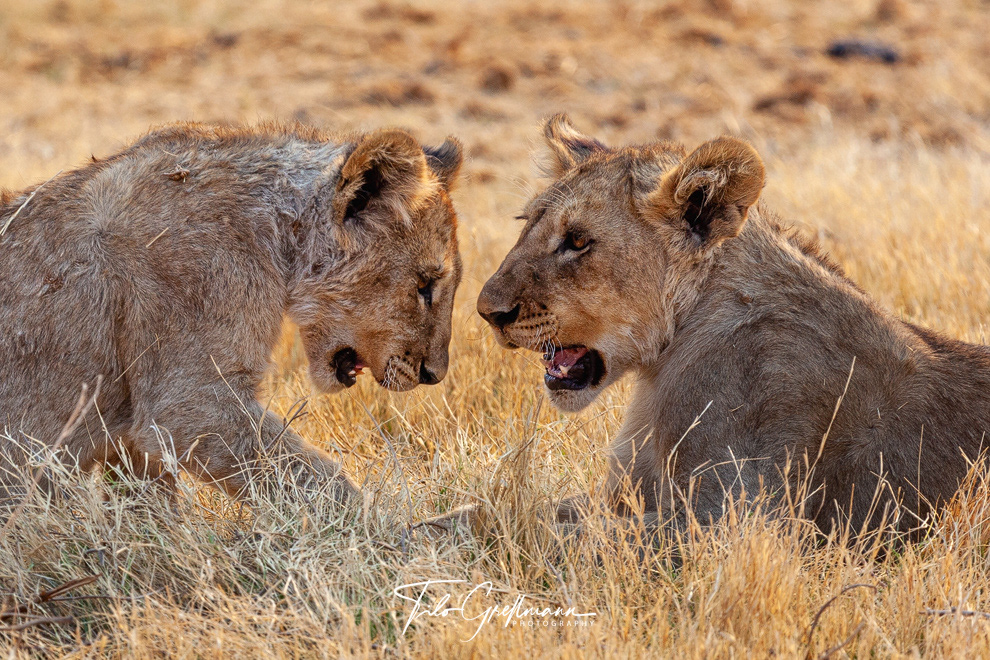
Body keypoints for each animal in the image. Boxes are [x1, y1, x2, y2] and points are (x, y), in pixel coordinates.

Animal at [0, 120, 462, 507]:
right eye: (425, 286)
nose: (433, 374)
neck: (279, 232)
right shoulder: (189, 402)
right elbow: (309, 474)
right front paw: (391, 536)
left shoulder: (134, 428)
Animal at [473, 114, 990, 536]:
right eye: (525, 223)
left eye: (578, 241)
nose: (487, 311)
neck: (661, 366)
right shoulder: (623, 495)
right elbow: (504, 512)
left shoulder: (737, 522)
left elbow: (548, 533)